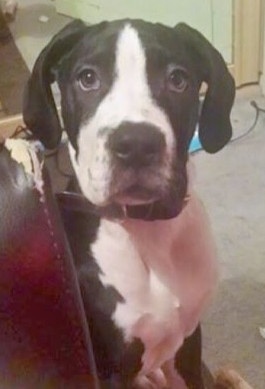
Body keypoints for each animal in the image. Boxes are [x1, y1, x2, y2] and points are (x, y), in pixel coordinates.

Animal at [22, 19, 233, 388]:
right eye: (87, 78)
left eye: (178, 79)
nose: (136, 143)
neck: (148, 230)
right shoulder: (113, 370)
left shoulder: (189, 345)